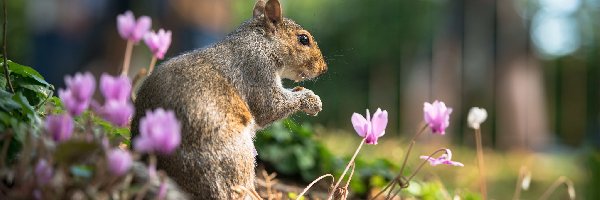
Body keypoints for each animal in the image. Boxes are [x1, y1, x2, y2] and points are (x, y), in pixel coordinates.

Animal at [131, 0, 328, 198]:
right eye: (303, 39)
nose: (323, 68)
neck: (261, 42)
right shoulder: (257, 71)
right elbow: (270, 107)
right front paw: (312, 100)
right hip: (234, 154)